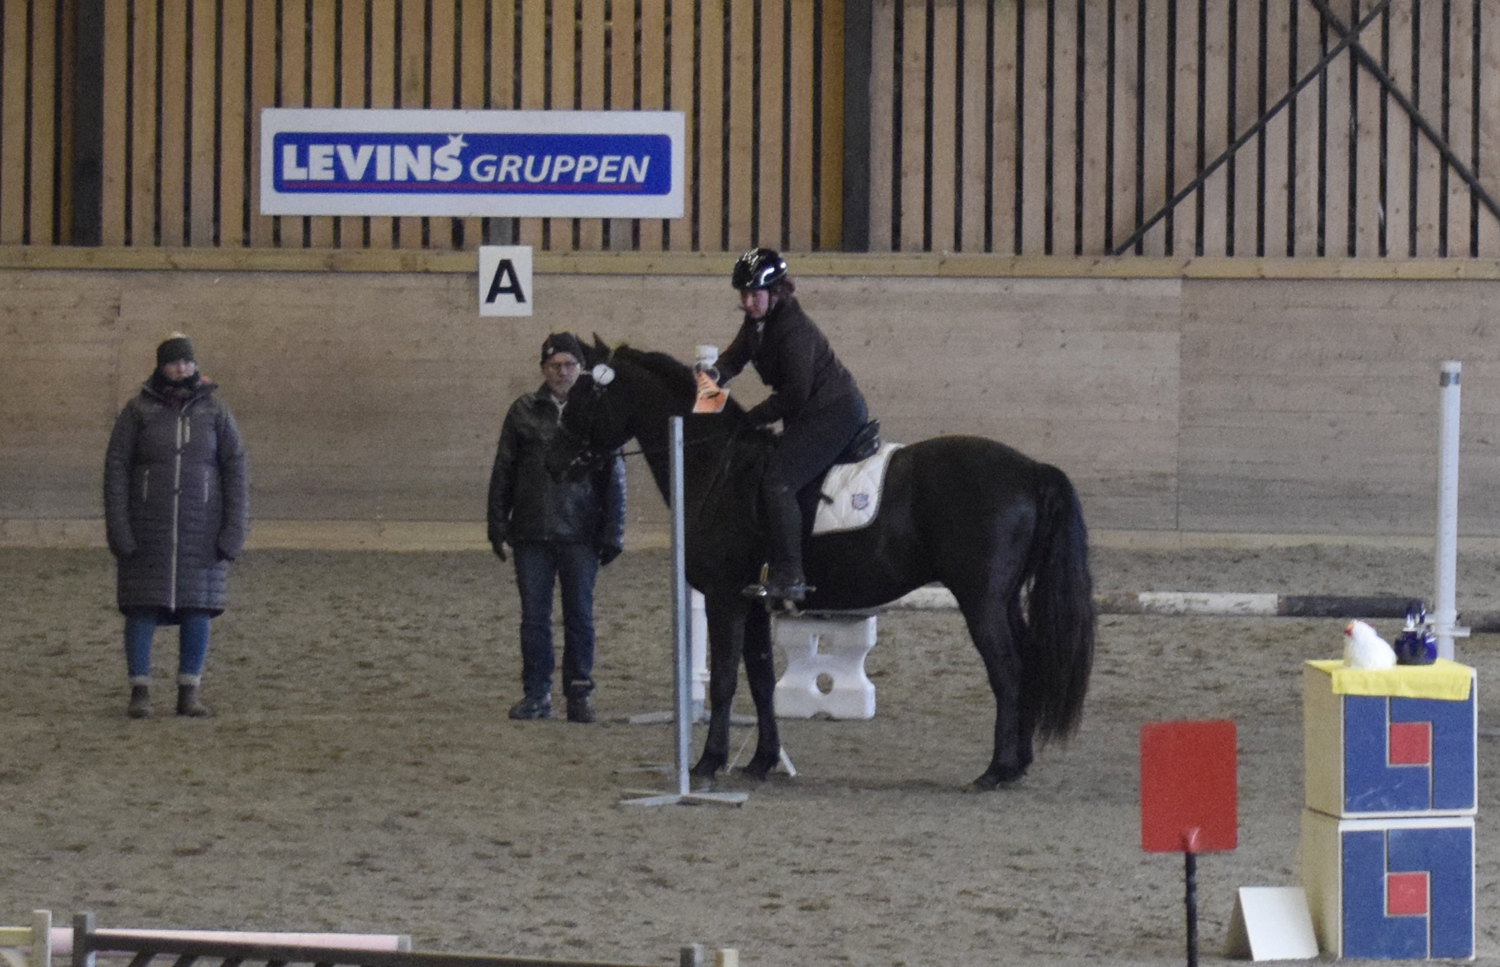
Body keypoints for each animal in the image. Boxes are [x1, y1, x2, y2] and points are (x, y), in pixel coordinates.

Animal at [548, 338, 1096, 790]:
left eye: (583, 396)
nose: (557, 458)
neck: (717, 467)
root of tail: (1030, 469)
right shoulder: (753, 602)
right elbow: (760, 680)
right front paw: (762, 762)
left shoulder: (725, 599)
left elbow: (724, 681)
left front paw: (707, 763)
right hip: (1003, 600)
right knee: (1026, 665)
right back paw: (1018, 763)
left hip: (980, 600)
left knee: (1007, 671)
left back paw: (996, 771)